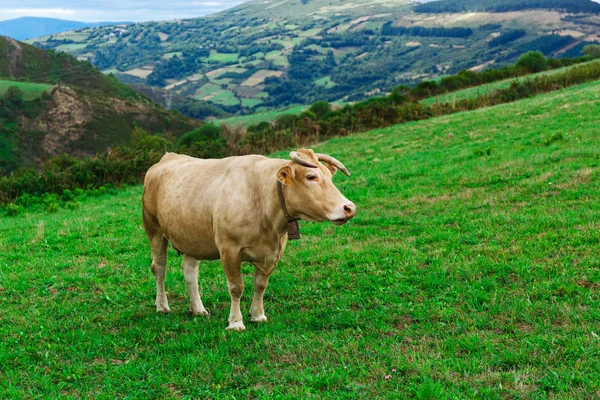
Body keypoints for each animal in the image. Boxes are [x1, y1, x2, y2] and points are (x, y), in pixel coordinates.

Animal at [141, 148, 356, 330]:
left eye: (329, 176)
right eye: (311, 176)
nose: (349, 207)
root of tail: (167, 157)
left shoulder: (273, 253)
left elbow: (260, 285)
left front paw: (258, 315)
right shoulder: (229, 250)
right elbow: (236, 288)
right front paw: (236, 322)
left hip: (191, 237)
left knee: (190, 272)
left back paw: (199, 309)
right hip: (154, 230)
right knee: (159, 268)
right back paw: (162, 305)